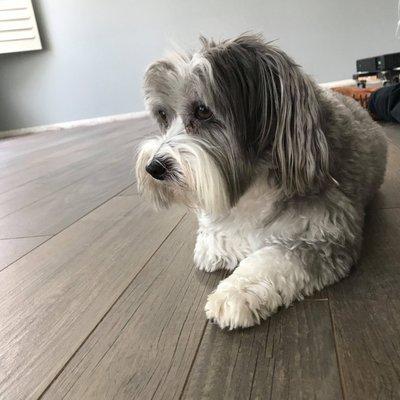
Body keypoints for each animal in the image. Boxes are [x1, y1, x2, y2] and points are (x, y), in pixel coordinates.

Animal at [135, 33, 388, 328]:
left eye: (203, 111)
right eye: (164, 115)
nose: (154, 167)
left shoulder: (325, 235)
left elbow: (275, 258)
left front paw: (235, 293)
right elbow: (215, 236)